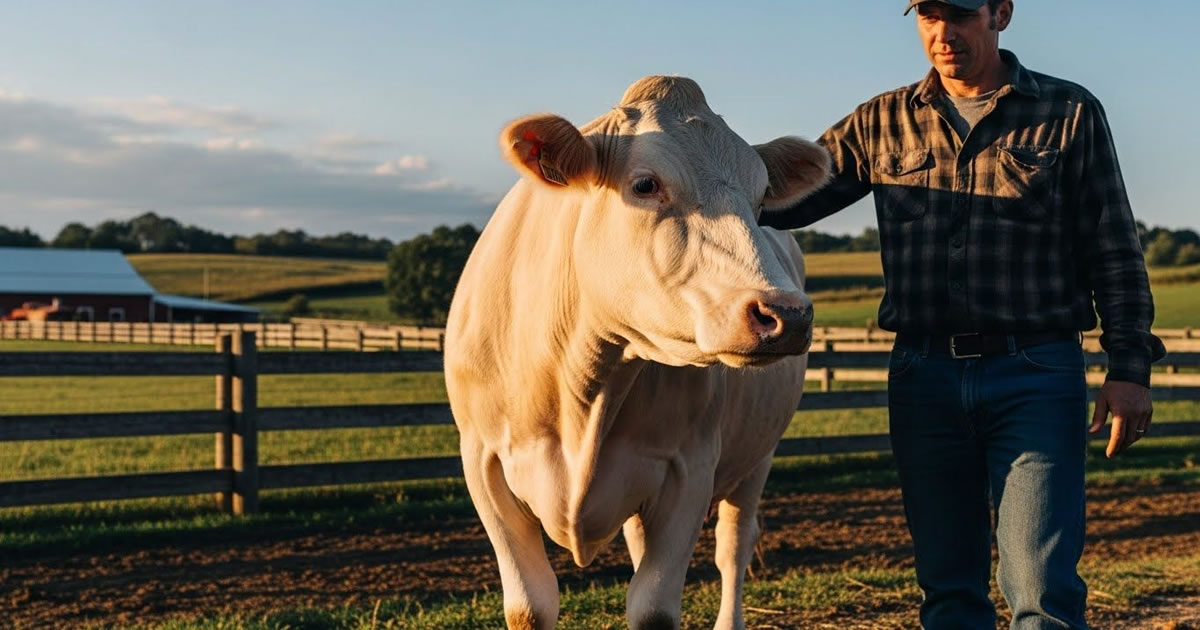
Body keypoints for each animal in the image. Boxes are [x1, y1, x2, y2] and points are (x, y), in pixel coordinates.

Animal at [444, 75, 830, 630]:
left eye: (761, 200)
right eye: (645, 185)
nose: (788, 313)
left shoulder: (691, 468)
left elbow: (653, 607)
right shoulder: (483, 463)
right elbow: (530, 606)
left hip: (757, 457)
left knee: (734, 545)